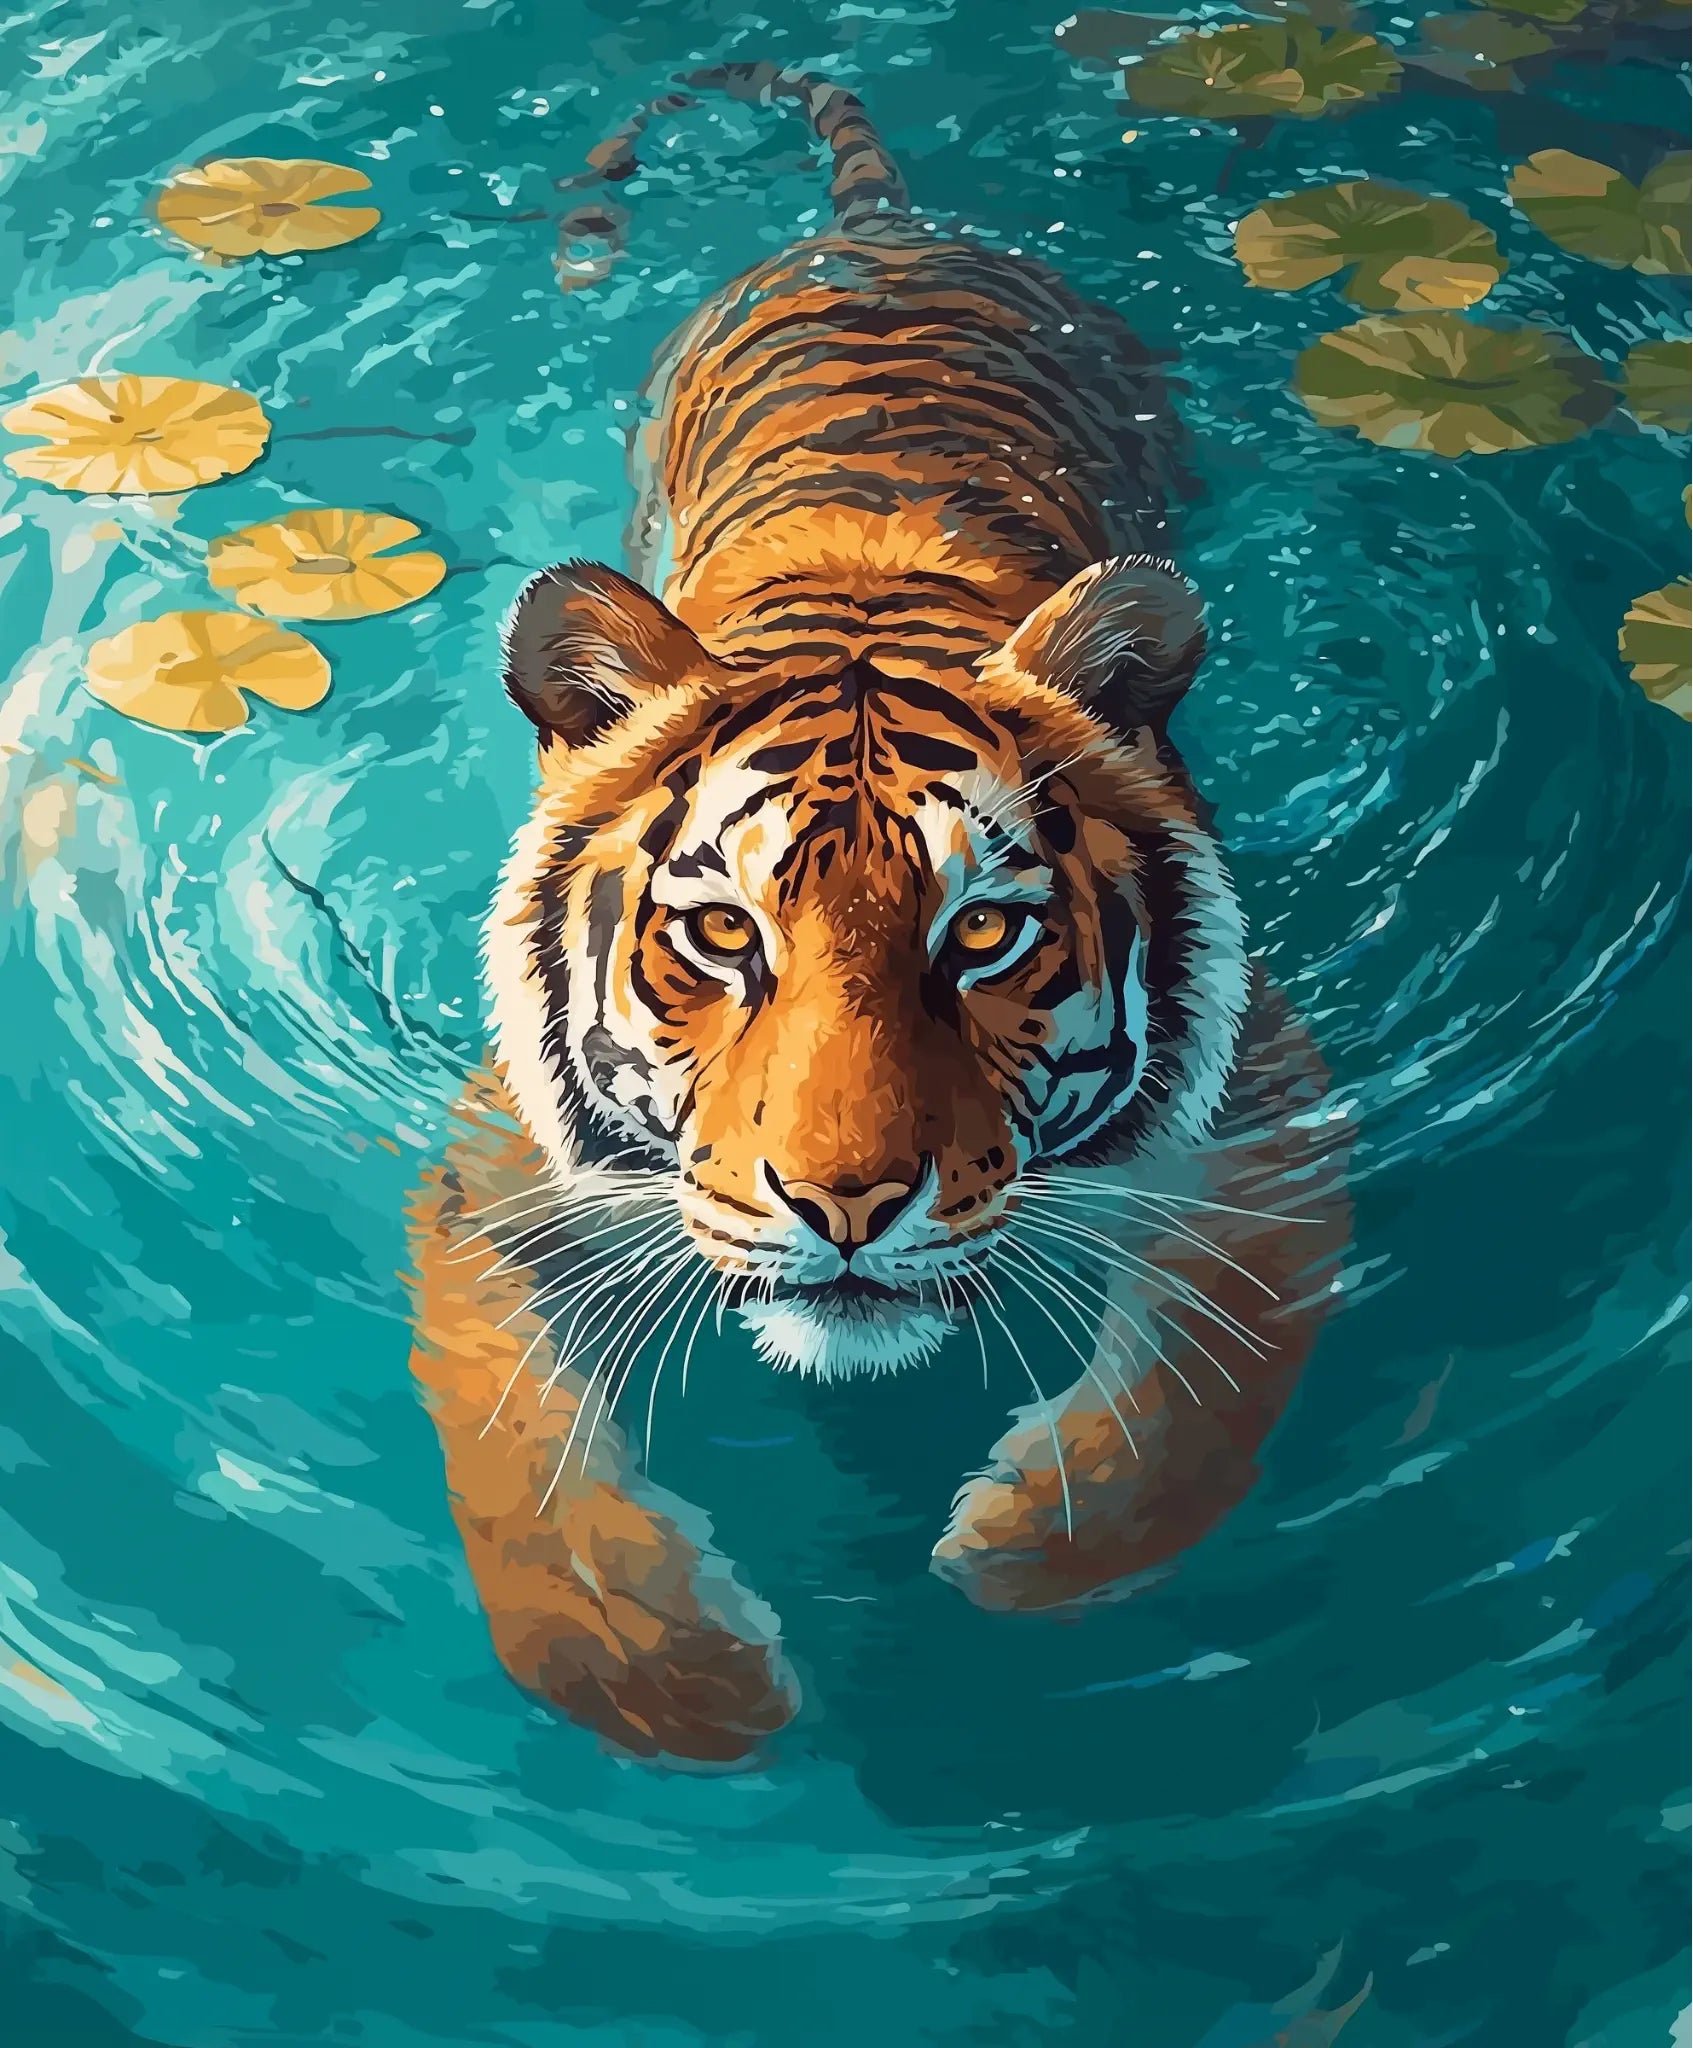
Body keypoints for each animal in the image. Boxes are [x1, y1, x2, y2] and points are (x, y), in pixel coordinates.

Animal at [406, 62, 1350, 1763]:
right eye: (722, 935)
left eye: (981, 936)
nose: (844, 1206)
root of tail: (886, 230)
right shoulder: (495, 1188)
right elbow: (513, 1459)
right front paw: (668, 1682)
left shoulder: (1272, 1128)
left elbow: (1196, 1401)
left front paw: (1025, 1550)